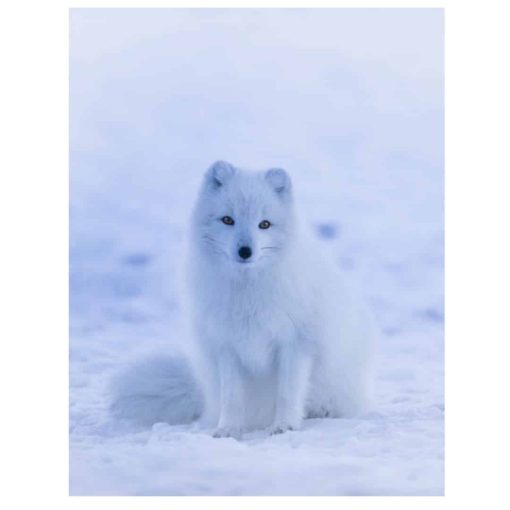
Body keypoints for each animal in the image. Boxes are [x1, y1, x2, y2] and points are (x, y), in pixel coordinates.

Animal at [110, 160, 374, 438]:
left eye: (264, 224)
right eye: (228, 220)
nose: (245, 251)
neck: (247, 293)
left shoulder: (296, 343)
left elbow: (288, 392)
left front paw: (284, 425)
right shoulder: (227, 346)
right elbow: (232, 397)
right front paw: (228, 429)